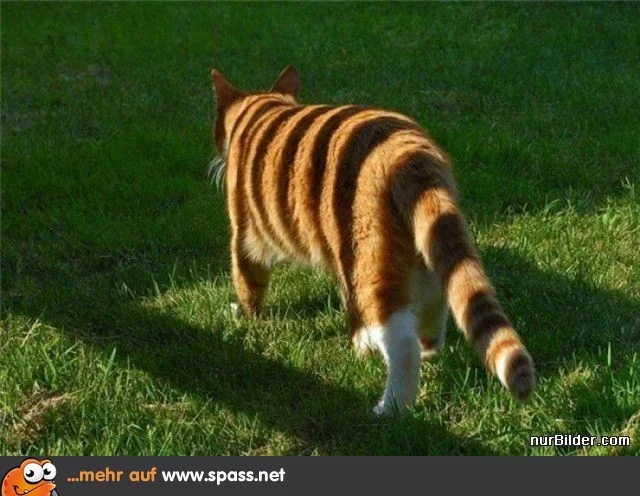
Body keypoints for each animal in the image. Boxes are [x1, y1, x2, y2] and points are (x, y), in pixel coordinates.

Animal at [210, 66, 535, 416]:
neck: (266, 109)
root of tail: (409, 151)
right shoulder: (342, 259)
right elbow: (351, 304)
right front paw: (360, 344)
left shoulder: (246, 235)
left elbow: (248, 282)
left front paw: (246, 316)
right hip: (419, 245)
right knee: (438, 297)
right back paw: (429, 346)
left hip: (370, 255)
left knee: (401, 340)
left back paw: (390, 408)